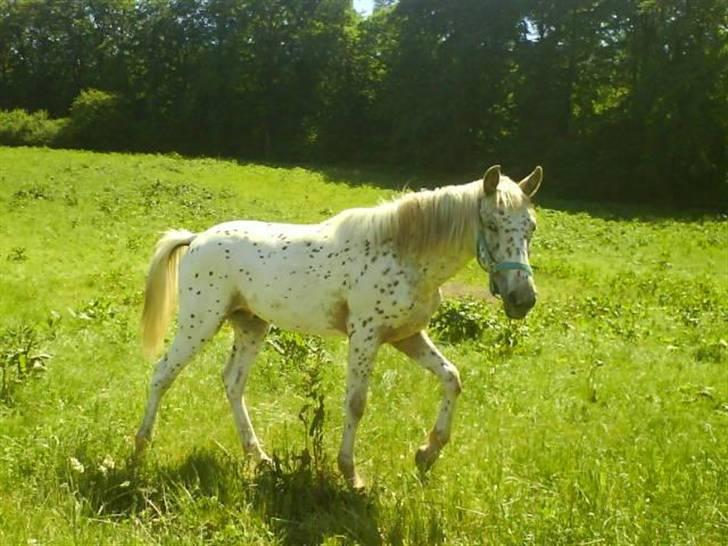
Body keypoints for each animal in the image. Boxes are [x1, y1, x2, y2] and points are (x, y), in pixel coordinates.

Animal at [136, 163, 544, 484]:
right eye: (490, 223)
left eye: (532, 227)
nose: (522, 299)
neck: (406, 254)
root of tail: (195, 238)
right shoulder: (365, 336)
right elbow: (356, 402)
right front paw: (350, 473)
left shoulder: (407, 336)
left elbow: (451, 378)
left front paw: (427, 453)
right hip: (200, 322)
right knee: (162, 374)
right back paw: (140, 446)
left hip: (251, 326)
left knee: (233, 383)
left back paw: (258, 456)